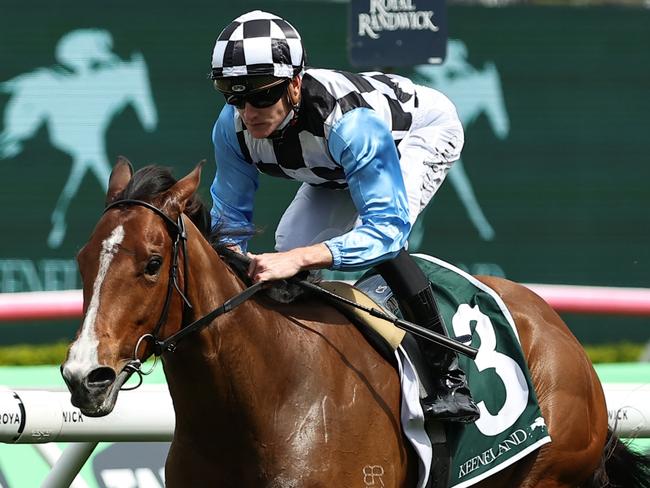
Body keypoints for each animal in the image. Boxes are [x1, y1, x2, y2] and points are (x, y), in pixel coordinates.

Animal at [62, 158, 648, 486]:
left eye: (152, 262)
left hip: (546, 472)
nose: (84, 376)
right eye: (83, 259)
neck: (263, 401)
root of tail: (556, 326)